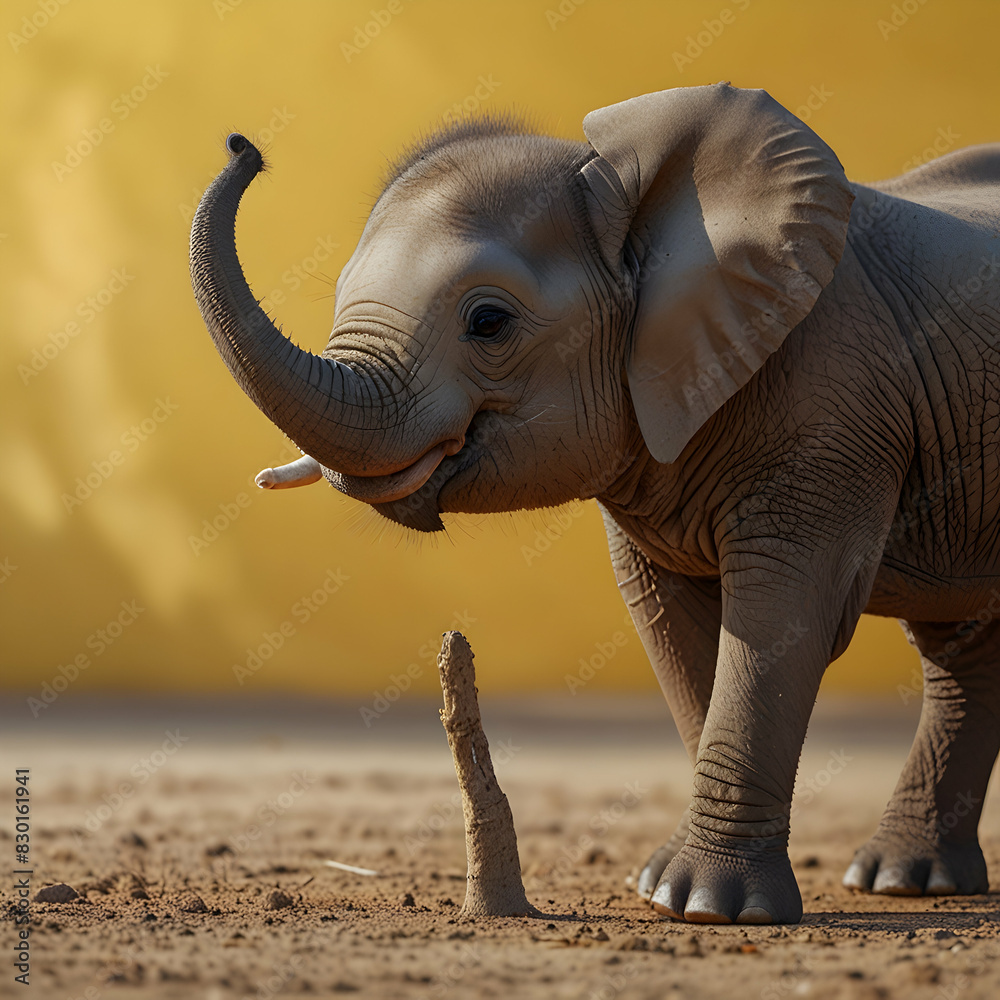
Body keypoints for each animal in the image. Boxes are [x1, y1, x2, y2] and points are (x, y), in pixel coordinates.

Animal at [190, 82, 1000, 925]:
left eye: (488, 322)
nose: (244, 147)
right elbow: (676, 625)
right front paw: (668, 895)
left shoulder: (832, 410)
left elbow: (783, 617)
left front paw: (706, 908)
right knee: (960, 649)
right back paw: (908, 882)